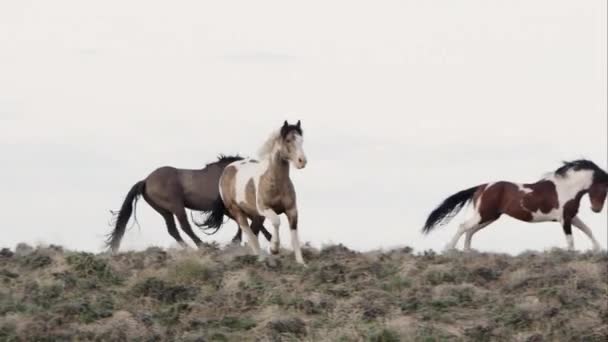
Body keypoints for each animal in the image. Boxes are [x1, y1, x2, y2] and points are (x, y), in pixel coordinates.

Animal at [105, 154, 272, 251]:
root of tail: (145, 180)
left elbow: (250, 221)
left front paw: (269, 237)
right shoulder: (227, 208)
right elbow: (244, 222)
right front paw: (237, 242)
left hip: (165, 211)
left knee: (173, 230)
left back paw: (188, 248)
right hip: (176, 206)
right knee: (184, 226)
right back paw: (201, 246)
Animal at [203, 120, 308, 264]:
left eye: (301, 140)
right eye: (288, 140)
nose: (302, 161)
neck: (274, 182)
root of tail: (227, 170)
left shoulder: (292, 210)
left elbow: (294, 235)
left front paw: (301, 263)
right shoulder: (265, 209)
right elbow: (276, 221)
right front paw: (274, 249)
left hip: (256, 215)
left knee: (254, 232)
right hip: (237, 212)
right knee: (249, 233)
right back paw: (261, 259)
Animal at [422, 160, 608, 251]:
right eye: (603, 188)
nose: (596, 209)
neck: (566, 188)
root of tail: (482, 187)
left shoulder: (571, 217)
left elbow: (588, 230)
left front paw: (598, 249)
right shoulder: (564, 219)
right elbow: (571, 241)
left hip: (489, 217)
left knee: (470, 231)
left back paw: (467, 252)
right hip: (483, 215)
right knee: (463, 226)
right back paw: (449, 249)